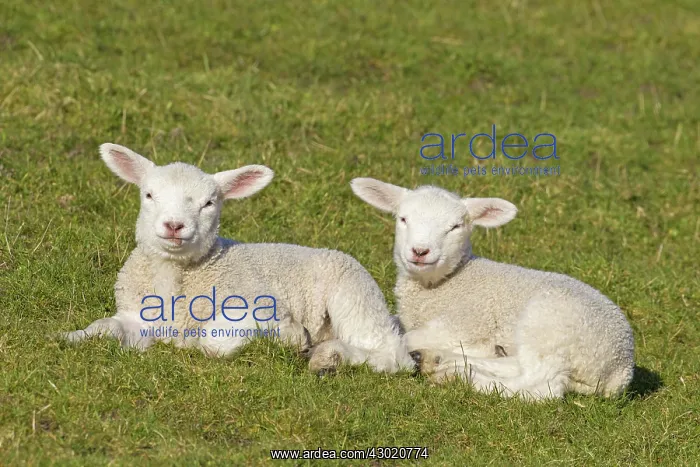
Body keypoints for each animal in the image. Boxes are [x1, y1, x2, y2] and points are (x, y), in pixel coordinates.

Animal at [60, 144, 415, 375]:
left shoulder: (257, 305)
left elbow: (212, 341)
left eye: (208, 203)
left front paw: (291, 337)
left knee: (394, 355)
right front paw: (71, 337)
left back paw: (329, 357)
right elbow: (105, 326)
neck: (178, 278)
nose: (174, 225)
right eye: (148, 195)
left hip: (353, 295)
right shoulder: (138, 316)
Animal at [351, 178, 635, 400]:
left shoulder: (465, 323)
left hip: (550, 325)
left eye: (455, 227)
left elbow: (405, 337)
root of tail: (620, 369)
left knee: (540, 385)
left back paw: (460, 377)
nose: (420, 251)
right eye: (403, 218)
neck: (445, 285)